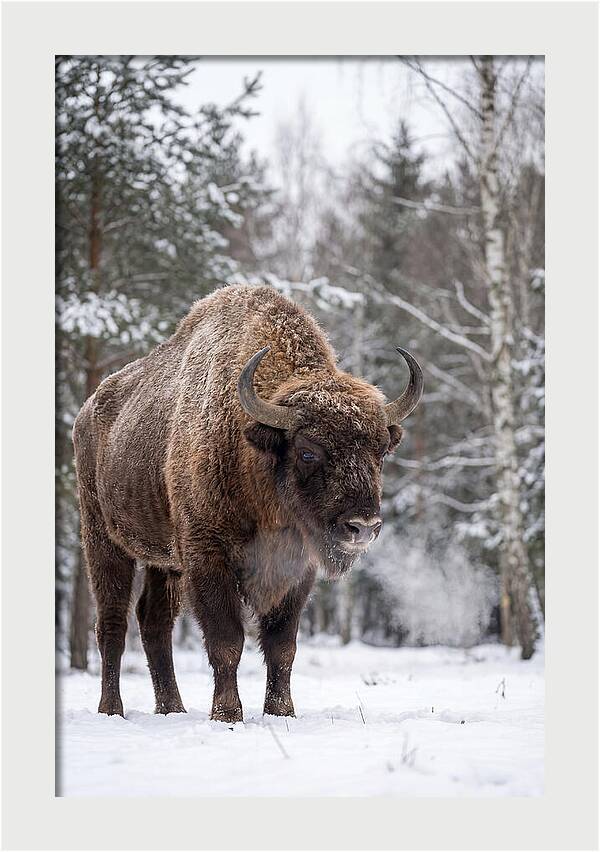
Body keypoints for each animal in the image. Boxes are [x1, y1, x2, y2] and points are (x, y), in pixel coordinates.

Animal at [73, 285, 423, 721]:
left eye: (380, 452)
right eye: (308, 451)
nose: (363, 526)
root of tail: (87, 412)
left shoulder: (297, 569)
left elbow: (281, 646)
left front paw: (281, 712)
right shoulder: (207, 558)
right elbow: (227, 641)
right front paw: (227, 714)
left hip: (163, 561)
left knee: (154, 623)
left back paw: (172, 709)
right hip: (104, 539)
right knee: (112, 624)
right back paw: (112, 710)